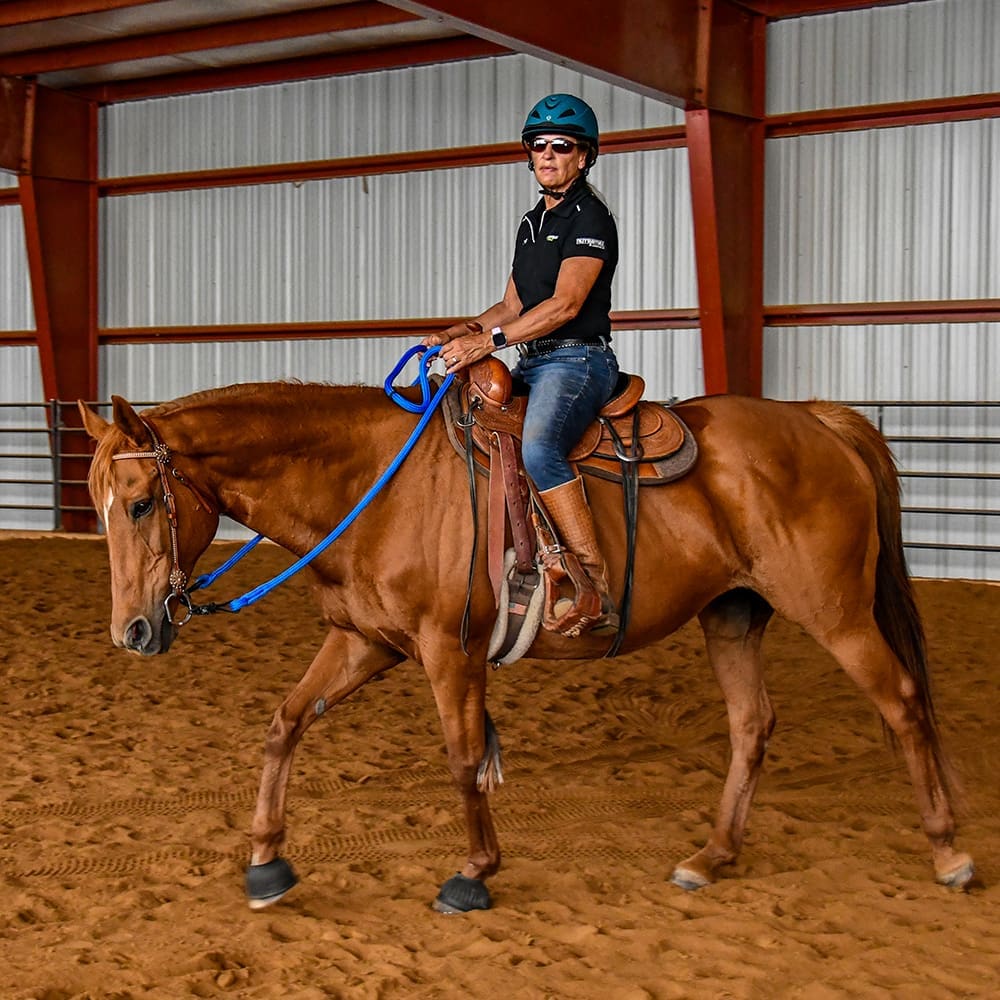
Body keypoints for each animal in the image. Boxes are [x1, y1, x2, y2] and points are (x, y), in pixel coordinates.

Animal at [80, 384, 976, 916]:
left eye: (139, 503)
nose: (133, 632)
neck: (376, 485)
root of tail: (816, 418)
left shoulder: (449, 650)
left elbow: (462, 758)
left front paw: (474, 872)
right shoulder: (366, 641)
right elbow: (284, 723)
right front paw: (267, 862)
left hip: (835, 612)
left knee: (903, 703)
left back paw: (949, 852)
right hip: (732, 615)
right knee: (753, 725)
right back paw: (712, 856)